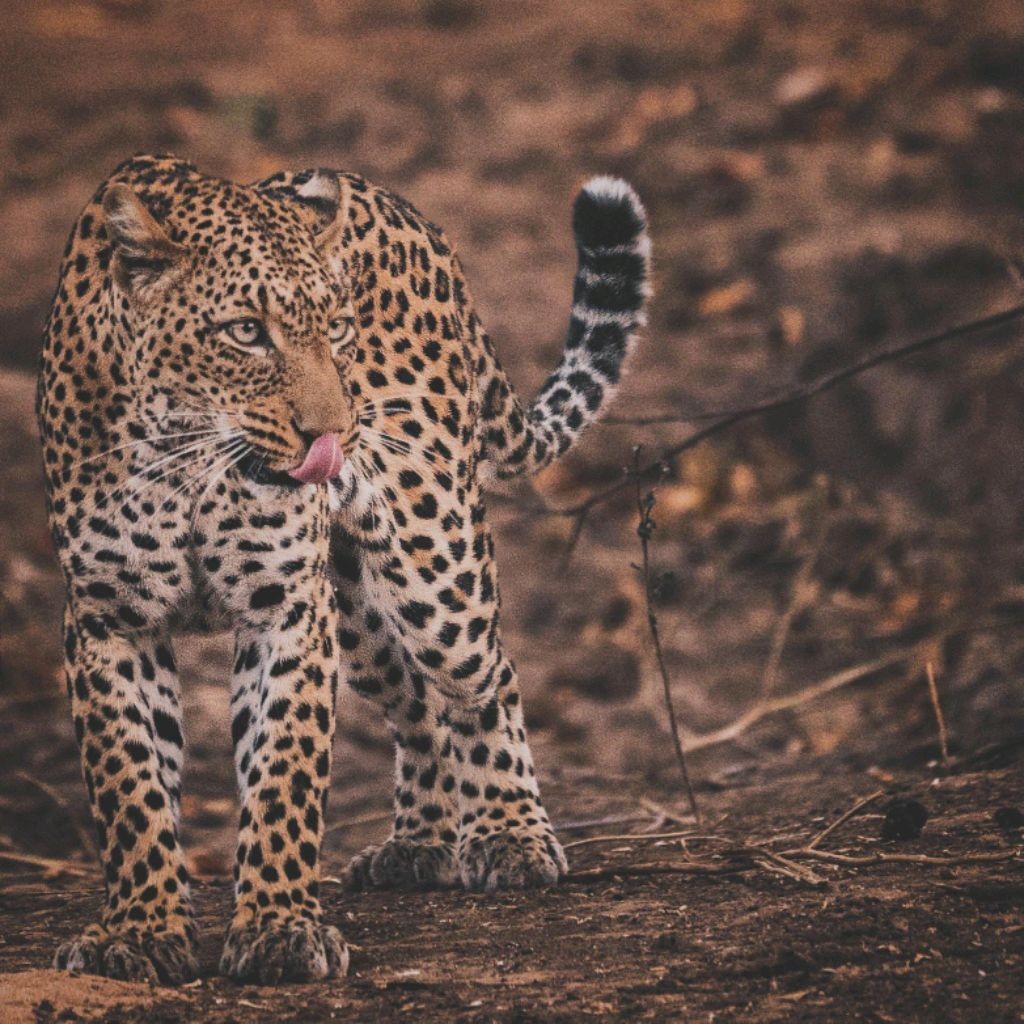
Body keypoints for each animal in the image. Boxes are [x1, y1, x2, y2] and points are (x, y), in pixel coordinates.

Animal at [36, 153, 651, 985]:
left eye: (335, 330)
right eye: (245, 332)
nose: (333, 432)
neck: (186, 455)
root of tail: (404, 209)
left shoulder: (286, 612)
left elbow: (284, 777)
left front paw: (278, 930)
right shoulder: (109, 621)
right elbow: (129, 787)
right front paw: (138, 933)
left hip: (433, 559)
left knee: (482, 677)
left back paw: (510, 833)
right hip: (357, 613)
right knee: (414, 701)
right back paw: (420, 844)